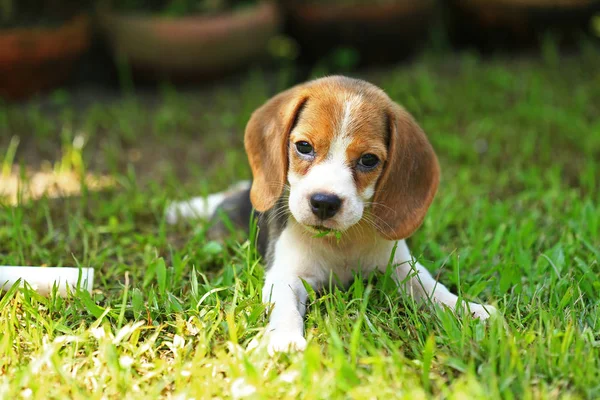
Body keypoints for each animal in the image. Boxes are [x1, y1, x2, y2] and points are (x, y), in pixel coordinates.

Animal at [165, 75, 496, 354]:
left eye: (368, 160)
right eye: (303, 146)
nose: (324, 202)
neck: (341, 241)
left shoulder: (401, 267)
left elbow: (431, 288)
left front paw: (468, 309)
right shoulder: (286, 274)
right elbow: (284, 307)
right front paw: (285, 339)